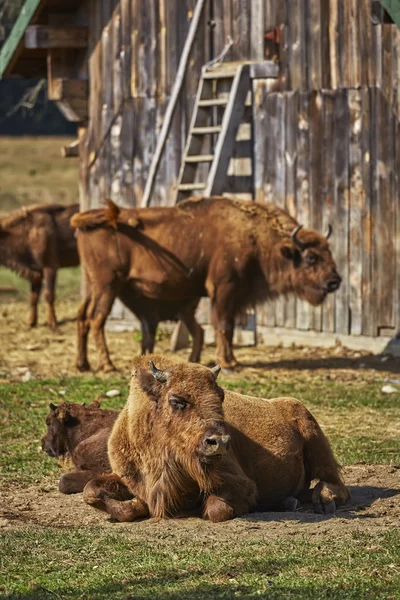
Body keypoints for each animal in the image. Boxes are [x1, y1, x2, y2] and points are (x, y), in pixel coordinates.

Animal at [72, 197, 340, 372]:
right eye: (311, 257)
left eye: (329, 251)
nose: (335, 281)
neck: (254, 237)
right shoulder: (224, 289)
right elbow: (223, 325)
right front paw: (229, 362)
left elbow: (223, 327)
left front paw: (226, 360)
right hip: (108, 285)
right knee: (96, 319)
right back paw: (107, 365)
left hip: (94, 286)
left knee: (83, 316)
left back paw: (83, 364)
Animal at [84, 356, 350, 520]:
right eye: (177, 401)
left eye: (220, 396)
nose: (219, 443)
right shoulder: (124, 476)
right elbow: (91, 491)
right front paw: (134, 505)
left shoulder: (239, 482)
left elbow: (216, 509)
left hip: (314, 435)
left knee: (336, 483)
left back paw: (323, 501)